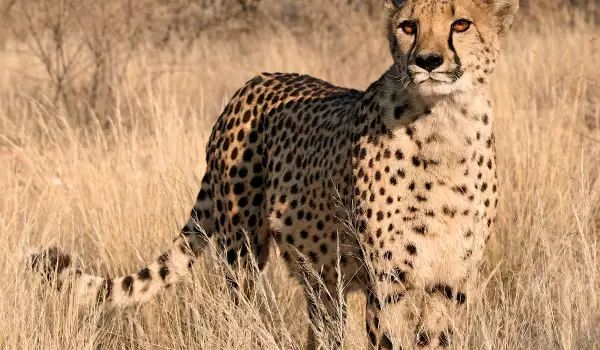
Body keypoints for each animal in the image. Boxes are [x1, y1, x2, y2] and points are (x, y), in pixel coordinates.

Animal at [28, 1, 516, 348]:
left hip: (321, 274)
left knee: (322, 329)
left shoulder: (450, 281)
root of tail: (252, 83)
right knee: (240, 314)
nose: (428, 61)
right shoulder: (387, 282)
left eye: (461, 25)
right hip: (242, 251)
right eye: (409, 26)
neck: (443, 126)